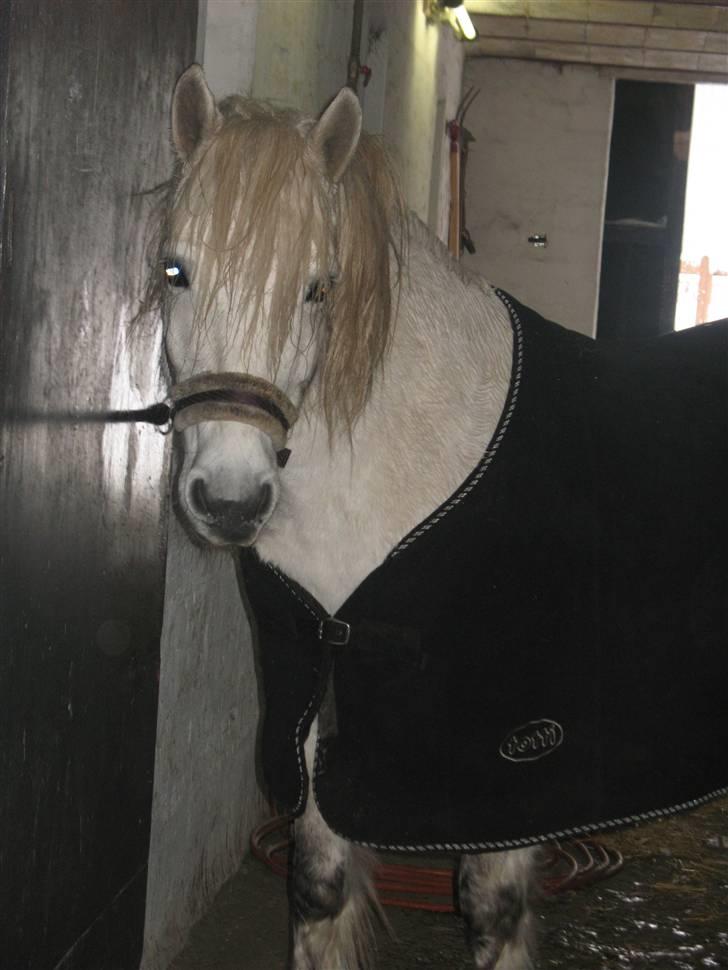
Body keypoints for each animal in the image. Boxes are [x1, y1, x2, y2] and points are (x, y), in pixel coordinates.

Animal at [157, 64, 728, 970]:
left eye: (319, 288)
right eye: (175, 270)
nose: (231, 499)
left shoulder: (508, 789)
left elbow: (492, 914)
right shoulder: (317, 733)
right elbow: (317, 895)